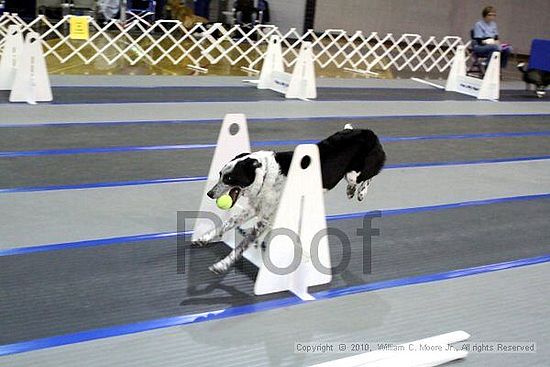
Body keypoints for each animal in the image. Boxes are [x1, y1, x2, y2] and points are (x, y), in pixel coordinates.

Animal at [196, 125, 386, 274]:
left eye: (229, 178)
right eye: (220, 174)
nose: (210, 194)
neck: (264, 176)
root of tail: (369, 132)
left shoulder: (264, 220)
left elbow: (240, 247)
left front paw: (221, 265)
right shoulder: (255, 209)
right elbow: (225, 225)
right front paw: (204, 238)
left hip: (357, 172)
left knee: (369, 176)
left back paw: (361, 193)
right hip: (348, 174)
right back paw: (350, 191)